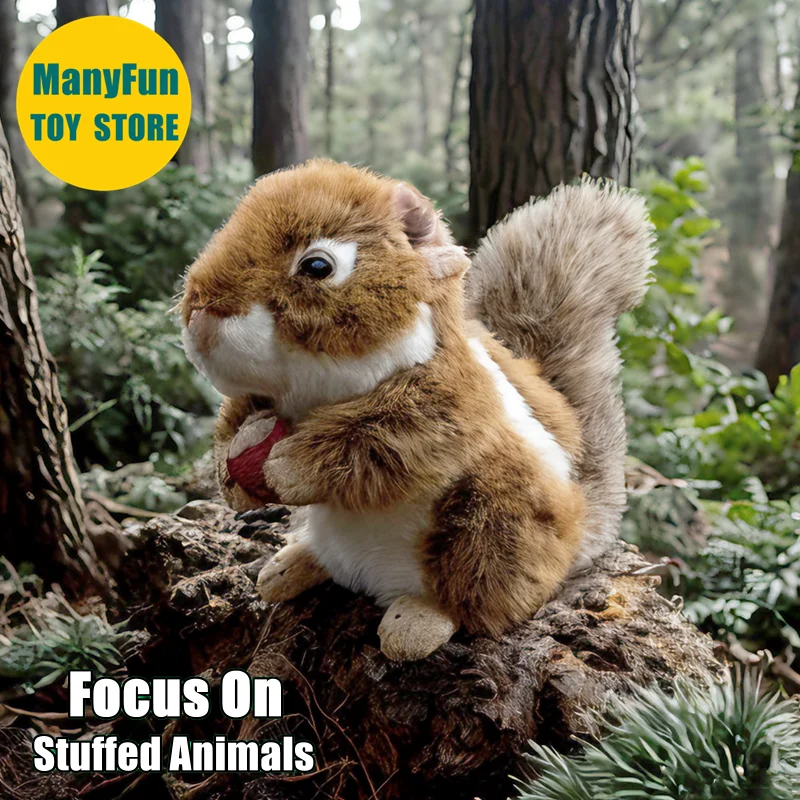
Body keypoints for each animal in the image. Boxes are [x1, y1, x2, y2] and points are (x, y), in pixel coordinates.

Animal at [180, 160, 654, 661]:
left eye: (317, 266)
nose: (200, 316)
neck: (313, 393)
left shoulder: (452, 396)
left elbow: (390, 439)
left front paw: (288, 464)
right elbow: (237, 416)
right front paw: (235, 472)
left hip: (495, 526)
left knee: (478, 599)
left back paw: (419, 619)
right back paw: (290, 566)